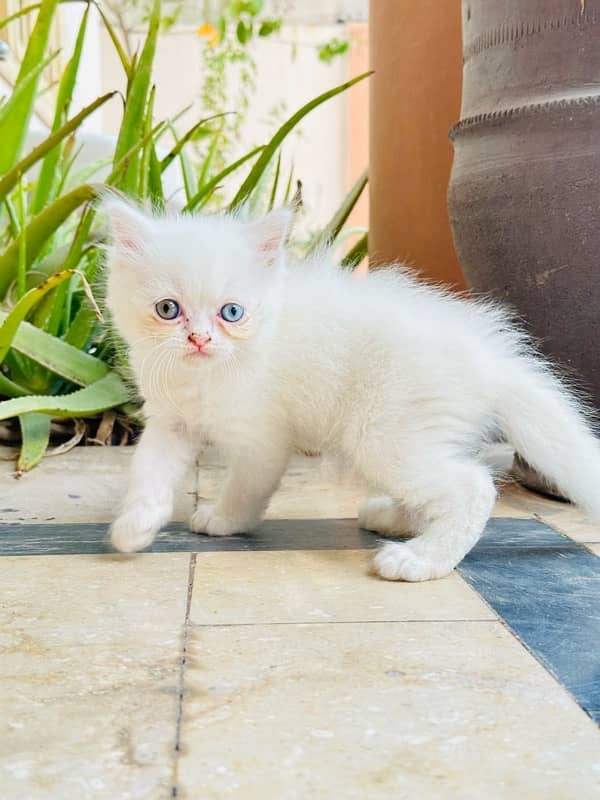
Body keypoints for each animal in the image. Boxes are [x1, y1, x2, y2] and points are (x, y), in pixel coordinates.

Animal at [103, 196, 600, 580]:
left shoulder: (263, 436)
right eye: (168, 309)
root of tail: (490, 357)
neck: (204, 377)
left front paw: (224, 520)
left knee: (471, 486)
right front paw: (135, 525)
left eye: (232, 313)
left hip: (383, 433)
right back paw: (392, 519)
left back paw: (421, 560)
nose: (200, 340)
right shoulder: (171, 421)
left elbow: (247, 486)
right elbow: (149, 471)